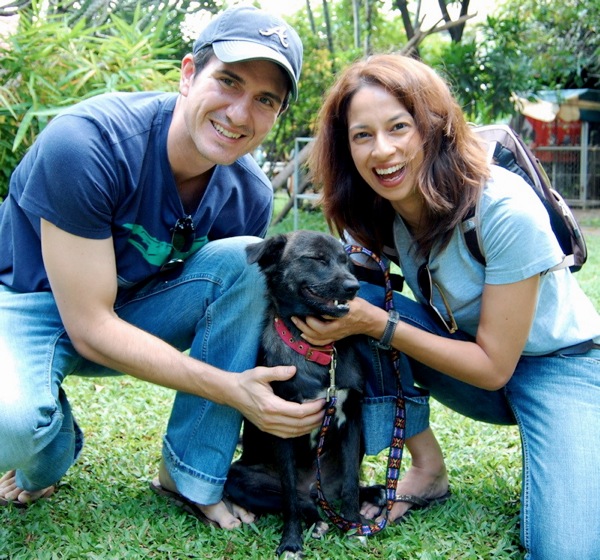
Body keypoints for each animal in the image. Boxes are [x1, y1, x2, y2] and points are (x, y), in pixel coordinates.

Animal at [224, 230, 377, 558]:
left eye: (345, 261)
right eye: (316, 259)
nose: (354, 287)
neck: (318, 353)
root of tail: (315, 488)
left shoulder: (352, 421)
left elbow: (350, 484)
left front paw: (354, 526)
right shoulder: (282, 426)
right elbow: (290, 498)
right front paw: (291, 542)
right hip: (239, 479)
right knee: (299, 498)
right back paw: (315, 520)